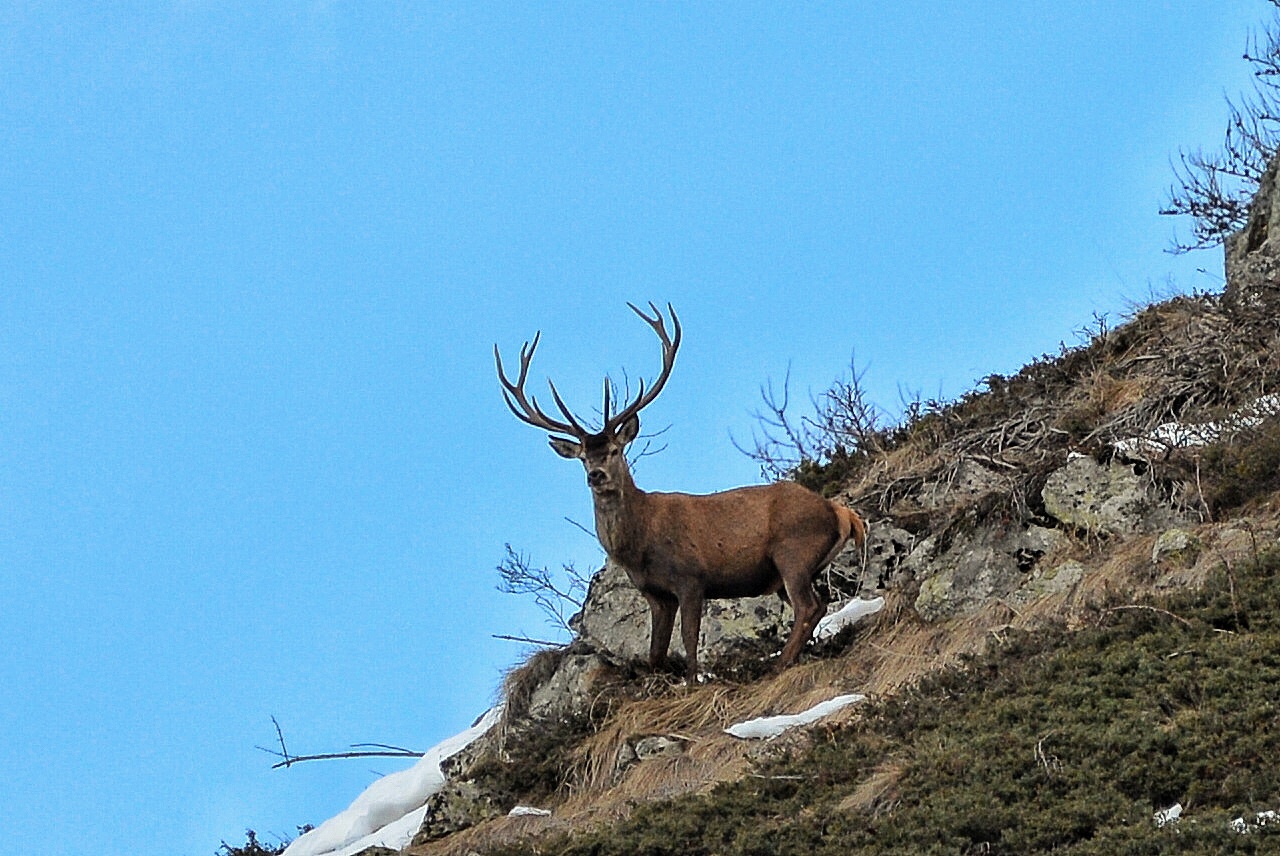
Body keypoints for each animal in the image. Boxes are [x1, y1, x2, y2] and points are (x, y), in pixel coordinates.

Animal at [495, 303, 866, 683]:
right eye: (583, 457)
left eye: (614, 450)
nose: (596, 475)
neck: (640, 544)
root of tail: (843, 513)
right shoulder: (655, 593)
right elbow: (655, 652)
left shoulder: (691, 577)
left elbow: (689, 638)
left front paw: (691, 682)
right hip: (790, 571)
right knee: (817, 605)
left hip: (792, 551)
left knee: (808, 606)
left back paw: (778, 664)